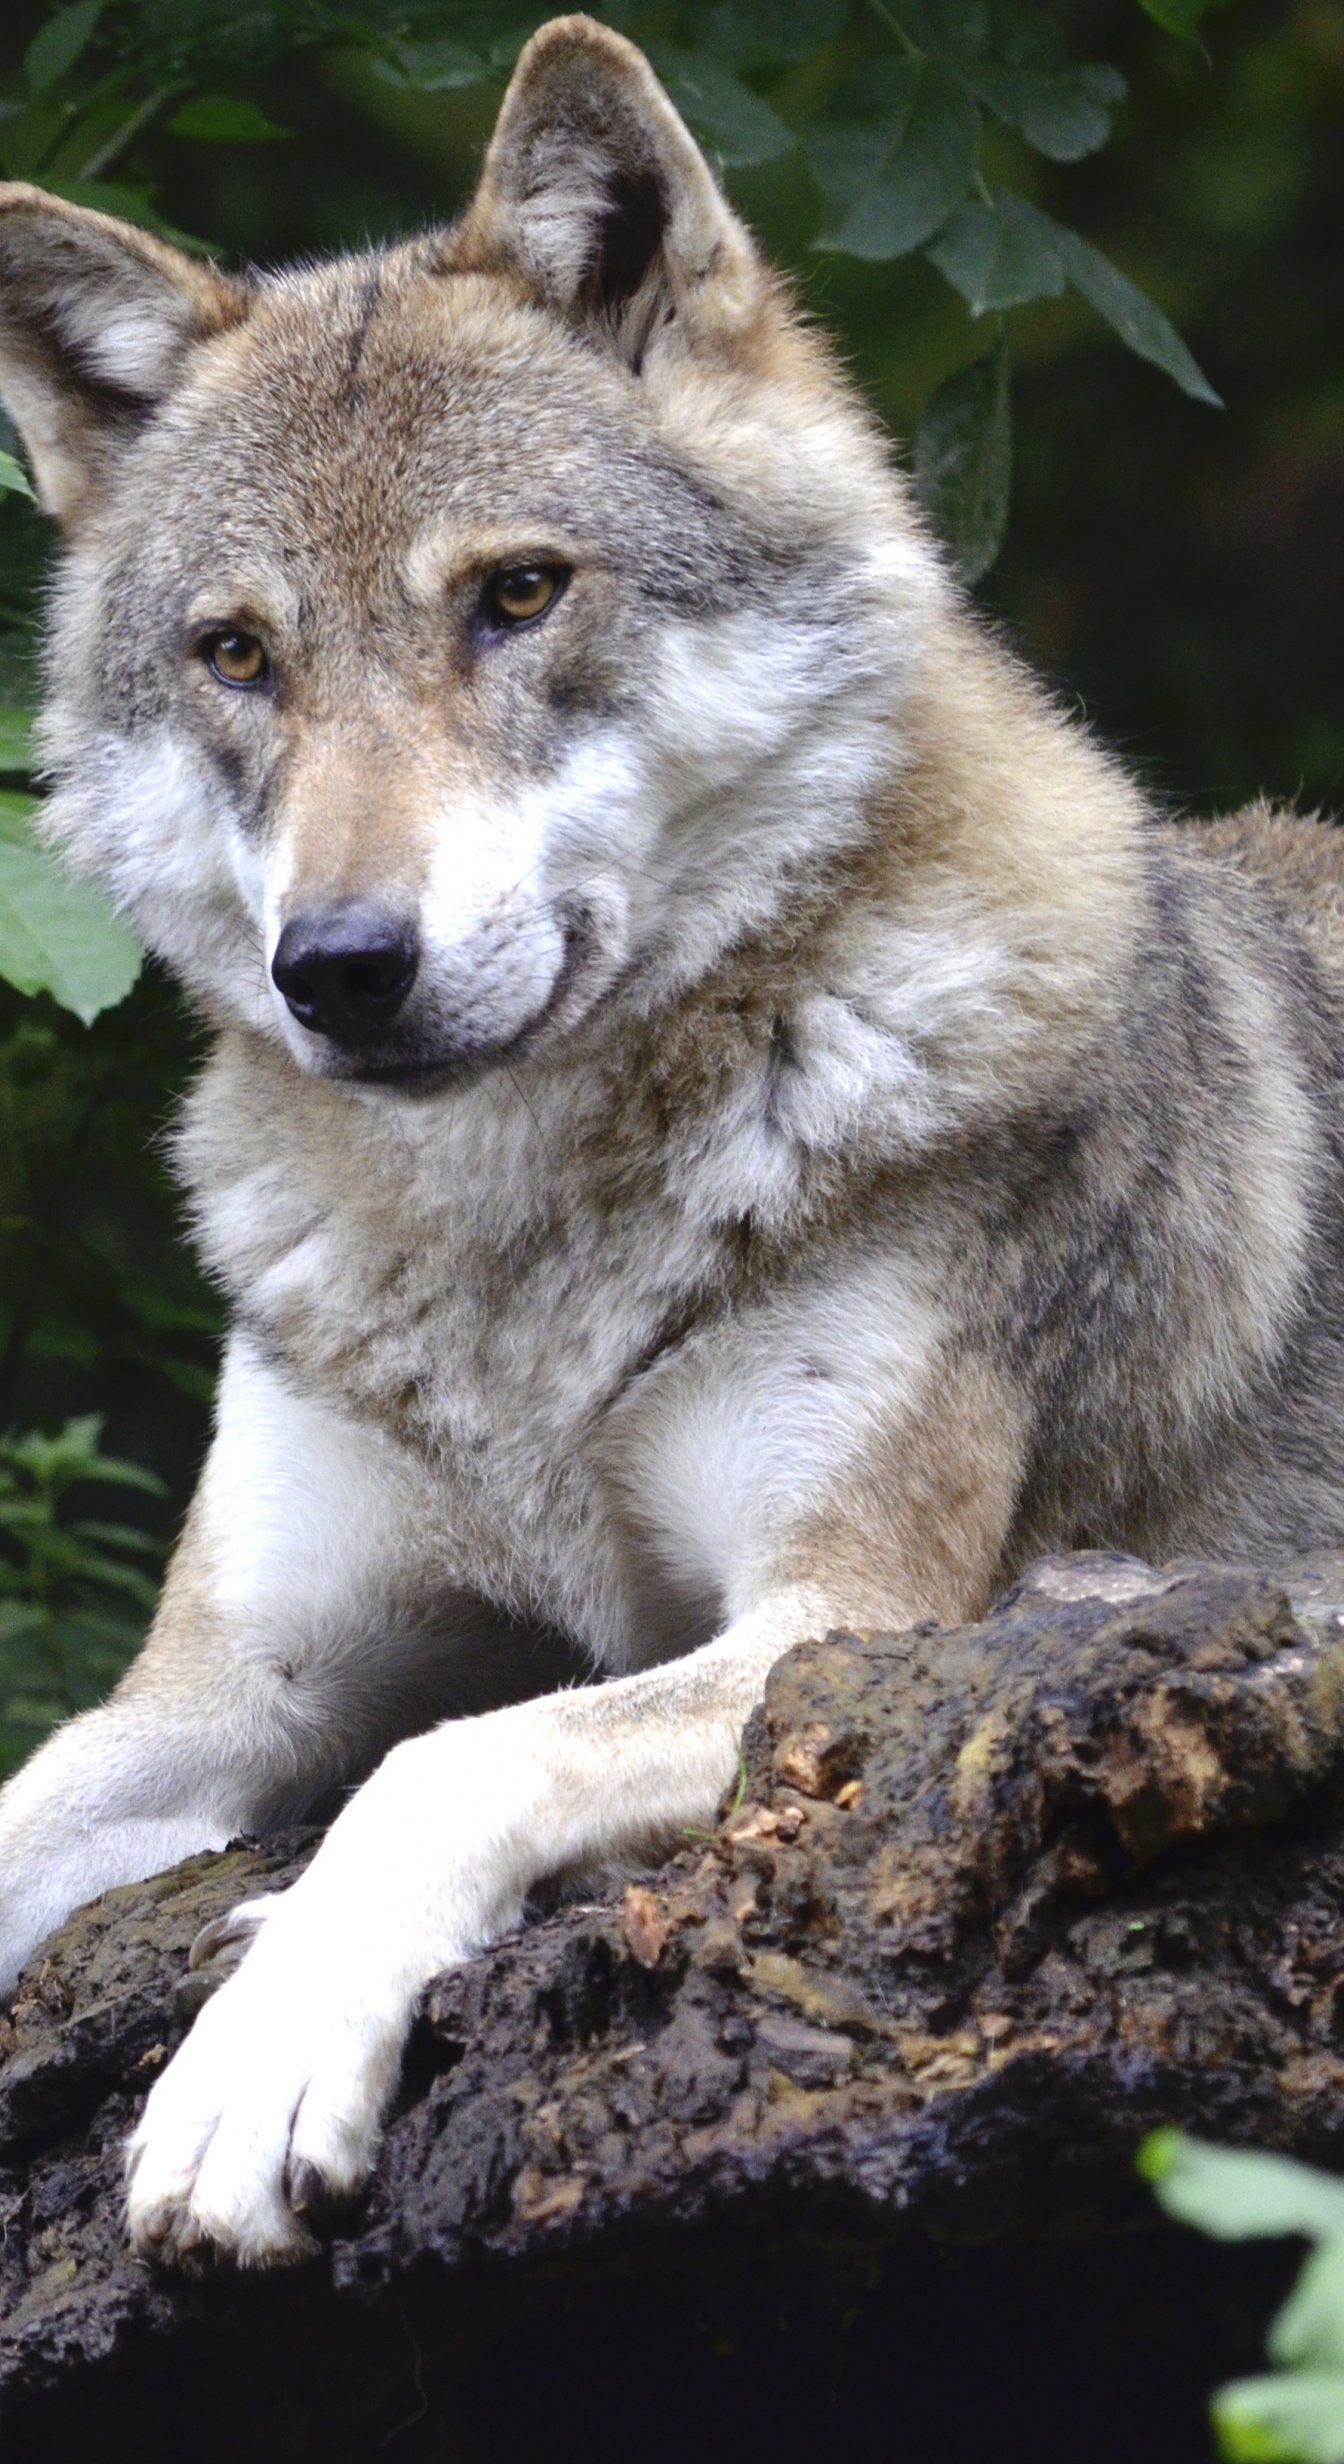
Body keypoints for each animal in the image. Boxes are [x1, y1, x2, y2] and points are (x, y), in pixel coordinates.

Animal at [0, 13, 1340, 2267]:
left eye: (517, 595)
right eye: (237, 652)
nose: (337, 966)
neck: (514, 1254)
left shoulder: (846, 1629)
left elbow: (451, 1756)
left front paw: (255, 2062)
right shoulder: (221, 1688)